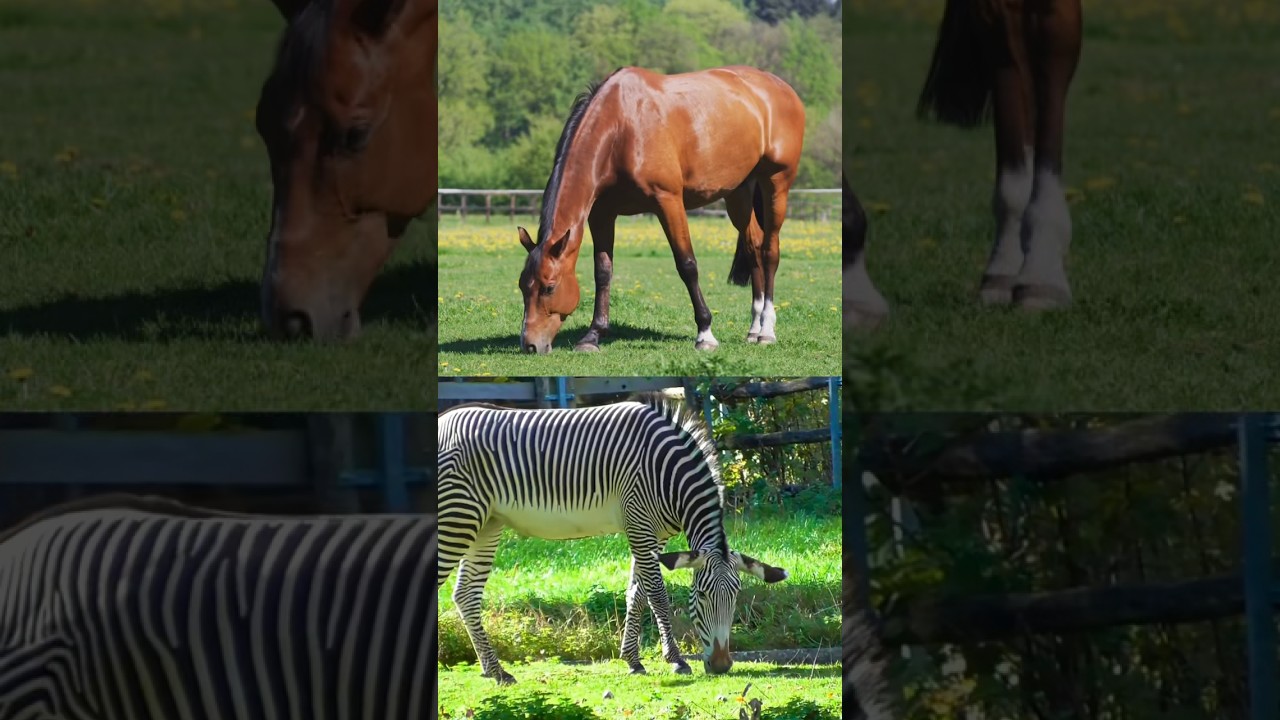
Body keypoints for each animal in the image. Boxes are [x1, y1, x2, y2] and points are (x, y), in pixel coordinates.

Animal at [437, 394, 788, 684]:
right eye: (700, 595)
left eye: (736, 596)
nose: (722, 665)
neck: (668, 473)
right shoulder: (639, 523)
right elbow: (657, 594)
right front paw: (676, 660)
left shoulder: (655, 534)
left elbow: (637, 593)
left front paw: (633, 660)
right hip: (458, 516)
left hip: (487, 523)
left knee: (465, 594)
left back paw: (495, 671)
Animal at [515, 65, 806, 355]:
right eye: (522, 286)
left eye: (549, 287)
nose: (530, 344)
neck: (621, 128)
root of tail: (782, 88)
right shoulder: (602, 213)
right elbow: (603, 271)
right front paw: (593, 335)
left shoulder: (668, 201)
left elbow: (687, 265)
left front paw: (705, 333)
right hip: (739, 193)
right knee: (753, 247)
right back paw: (754, 329)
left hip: (776, 183)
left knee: (769, 252)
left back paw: (767, 330)